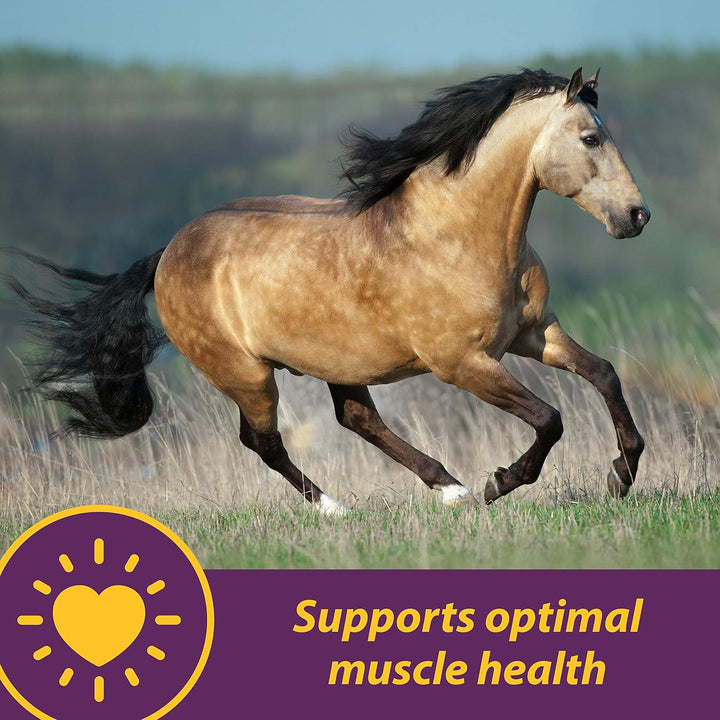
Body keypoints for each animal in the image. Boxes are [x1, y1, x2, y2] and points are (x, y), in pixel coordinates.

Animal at [5, 67, 650, 514]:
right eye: (591, 139)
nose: (637, 216)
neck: (457, 234)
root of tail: (167, 253)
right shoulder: (462, 363)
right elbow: (549, 418)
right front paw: (501, 482)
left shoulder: (534, 333)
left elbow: (604, 375)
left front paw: (622, 475)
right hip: (247, 374)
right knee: (263, 440)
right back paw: (342, 507)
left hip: (338, 361)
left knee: (357, 419)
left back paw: (449, 490)